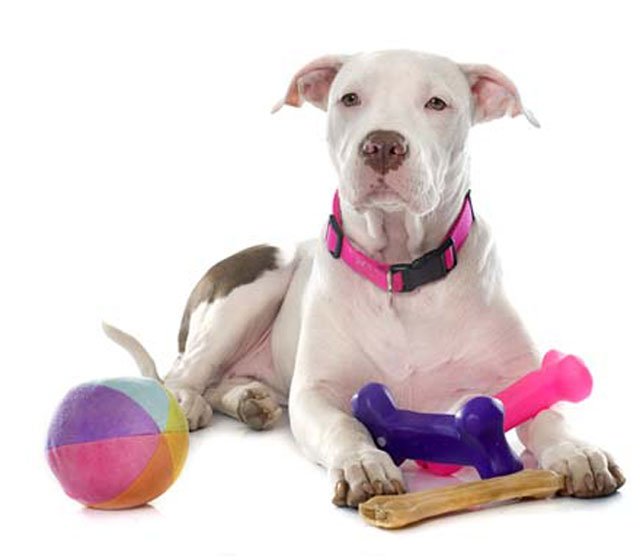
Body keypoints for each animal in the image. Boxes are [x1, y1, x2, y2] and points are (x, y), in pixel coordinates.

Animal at [105, 50, 624, 508]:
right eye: (349, 98)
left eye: (437, 103)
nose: (382, 144)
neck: (402, 271)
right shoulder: (317, 394)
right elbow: (345, 425)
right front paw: (365, 464)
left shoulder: (519, 376)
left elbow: (552, 414)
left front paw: (579, 453)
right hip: (253, 289)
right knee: (182, 372)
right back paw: (188, 403)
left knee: (224, 381)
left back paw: (250, 400)